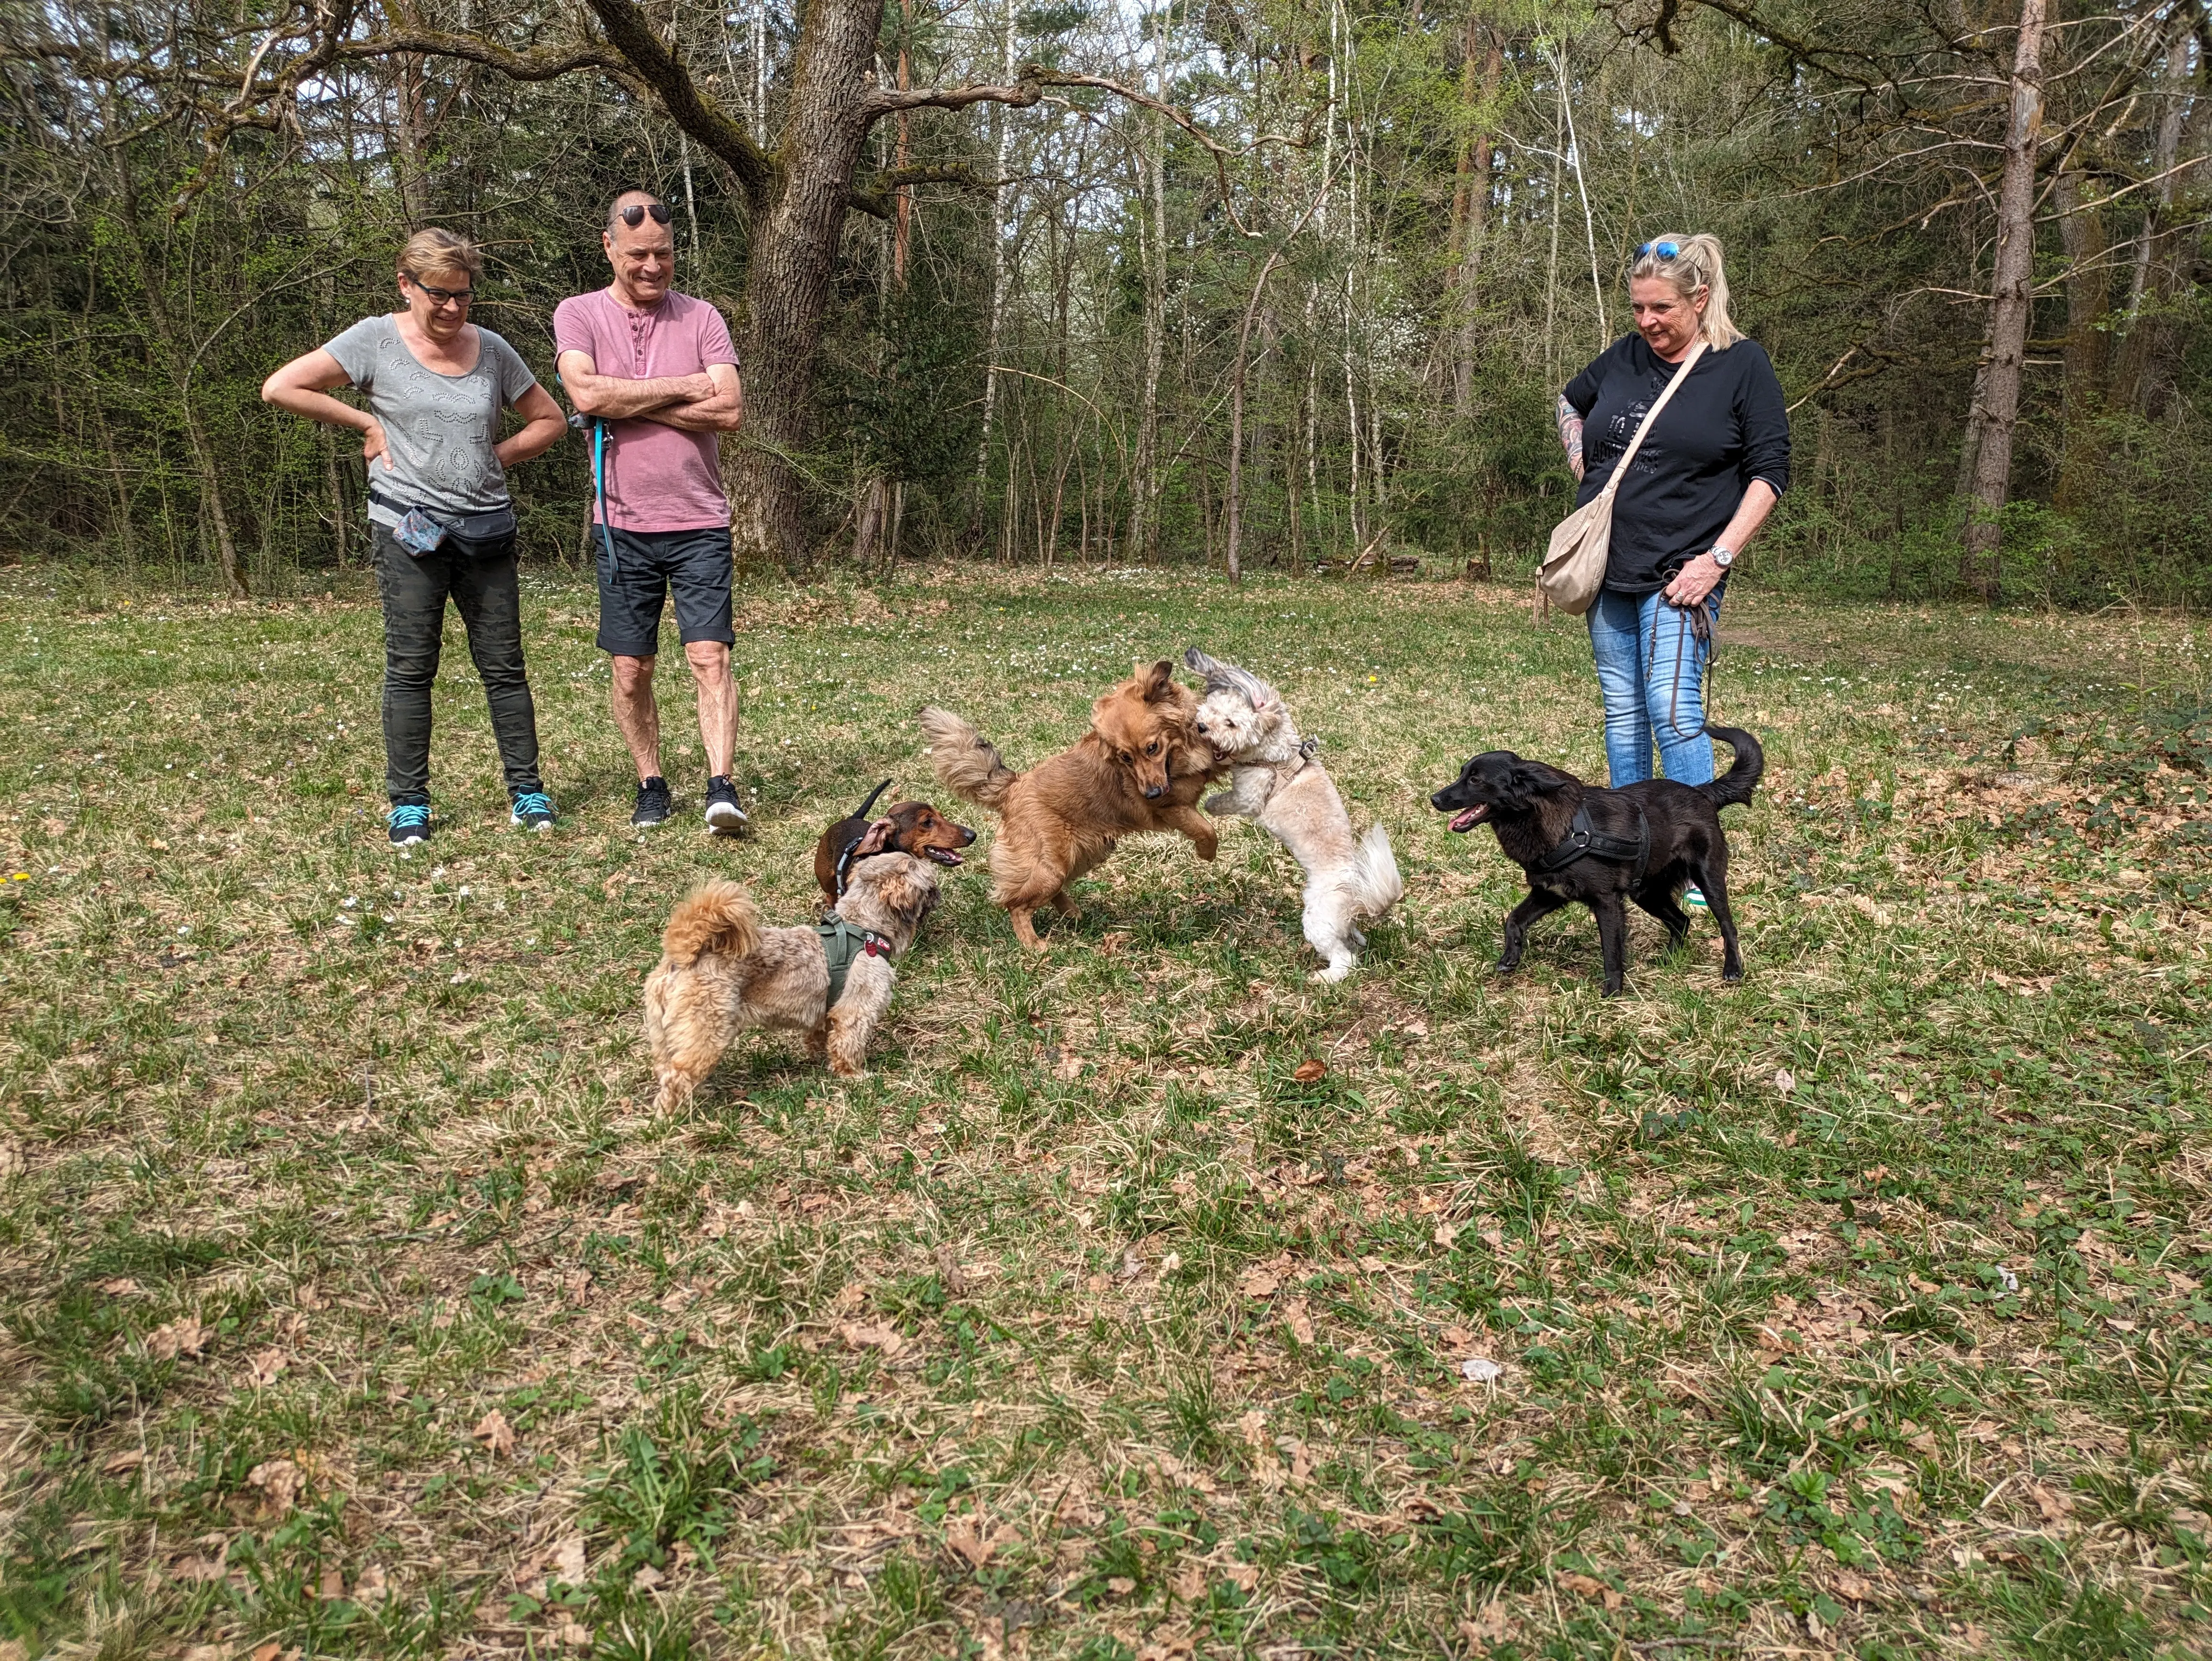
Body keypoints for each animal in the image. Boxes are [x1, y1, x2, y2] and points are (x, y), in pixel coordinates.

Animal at [646, 831, 942, 1119]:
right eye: (926, 880)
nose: (938, 889)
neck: (863, 929)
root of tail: (687, 955)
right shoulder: (855, 1011)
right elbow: (848, 1045)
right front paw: (854, 1076)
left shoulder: (825, 1012)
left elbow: (820, 1038)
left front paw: (821, 1061)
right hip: (707, 1032)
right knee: (677, 1077)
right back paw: (671, 1118)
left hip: (663, 1036)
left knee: (665, 1068)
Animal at [814, 783, 977, 911]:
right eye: (927, 822)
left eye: (941, 816)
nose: (973, 835)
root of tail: (851, 818)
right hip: (827, 883)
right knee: (831, 896)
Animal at [916, 659, 1229, 946]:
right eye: (1125, 758)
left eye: (1152, 748)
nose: (1151, 794)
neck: (1179, 751)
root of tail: (1012, 787)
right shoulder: (1172, 807)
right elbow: (1206, 829)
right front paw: (1207, 853)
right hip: (1049, 868)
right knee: (1016, 905)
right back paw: (1034, 945)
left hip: (1082, 855)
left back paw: (1072, 913)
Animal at [1194, 645, 1398, 982]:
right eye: (1209, 710)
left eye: (1231, 723)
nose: (1201, 727)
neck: (1277, 754)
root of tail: (1360, 898)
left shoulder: (1250, 797)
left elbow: (1227, 801)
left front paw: (1209, 804)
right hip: (1338, 923)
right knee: (1351, 939)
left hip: (1318, 918)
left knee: (1345, 959)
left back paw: (1325, 978)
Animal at [1433, 725, 1760, 986]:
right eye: (1463, 774)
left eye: (1476, 780)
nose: (1434, 799)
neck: (1565, 830)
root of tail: (1702, 792)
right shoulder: (1549, 892)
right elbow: (1513, 919)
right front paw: (1511, 955)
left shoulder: (1606, 902)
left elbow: (1612, 953)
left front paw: (1612, 994)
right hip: (1646, 892)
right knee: (1681, 922)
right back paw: (1669, 959)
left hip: (1708, 878)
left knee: (1727, 925)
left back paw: (1733, 968)